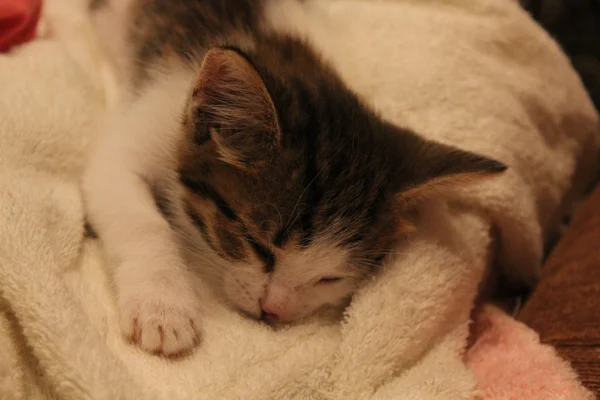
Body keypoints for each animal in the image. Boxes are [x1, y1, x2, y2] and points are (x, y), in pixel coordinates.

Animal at [83, 0, 506, 356]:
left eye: (330, 278)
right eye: (258, 246)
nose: (273, 311)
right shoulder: (146, 126)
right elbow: (139, 219)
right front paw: (162, 308)